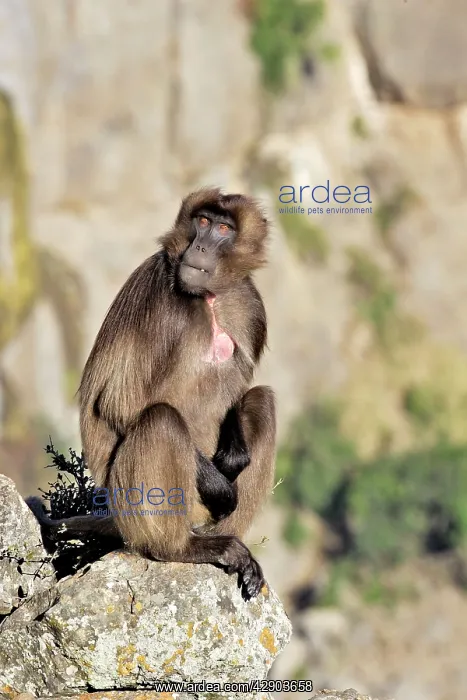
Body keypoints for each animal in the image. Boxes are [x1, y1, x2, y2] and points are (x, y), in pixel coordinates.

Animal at [27, 188, 276, 600]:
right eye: (202, 222)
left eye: (223, 228)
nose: (201, 247)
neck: (207, 298)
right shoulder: (159, 295)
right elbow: (121, 403)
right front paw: (218, 485)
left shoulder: (250, 305)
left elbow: (240, 395)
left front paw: (235, 456)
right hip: (132, 505)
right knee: (161, 419)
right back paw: (182, 548)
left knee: (261, 401)